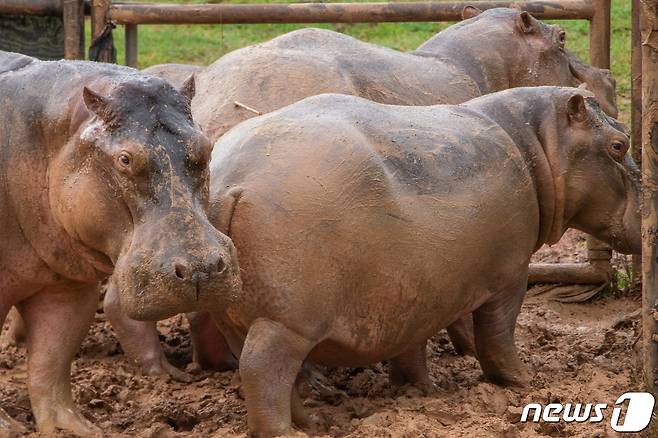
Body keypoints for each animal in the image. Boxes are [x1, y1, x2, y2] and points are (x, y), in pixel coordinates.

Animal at [0, 51, 241, 434]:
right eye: (124, 158)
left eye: (206, 147)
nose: (201, 269)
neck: (53, 135)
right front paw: (9, 429)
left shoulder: (68, 288)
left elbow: (51, 362)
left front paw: (76, 429)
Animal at [204, 87, 636, 436]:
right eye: (619, 144)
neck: (538, 142)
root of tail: (230, 184)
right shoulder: (510, 275)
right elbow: (497, 336)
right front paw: (524, 384)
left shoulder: (413, 288)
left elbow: (412, 343)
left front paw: (420, 391)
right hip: (286, 323)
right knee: (263, 372)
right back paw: (284, 432)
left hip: (240, 318)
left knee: (266, 372)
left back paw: (314, 423)